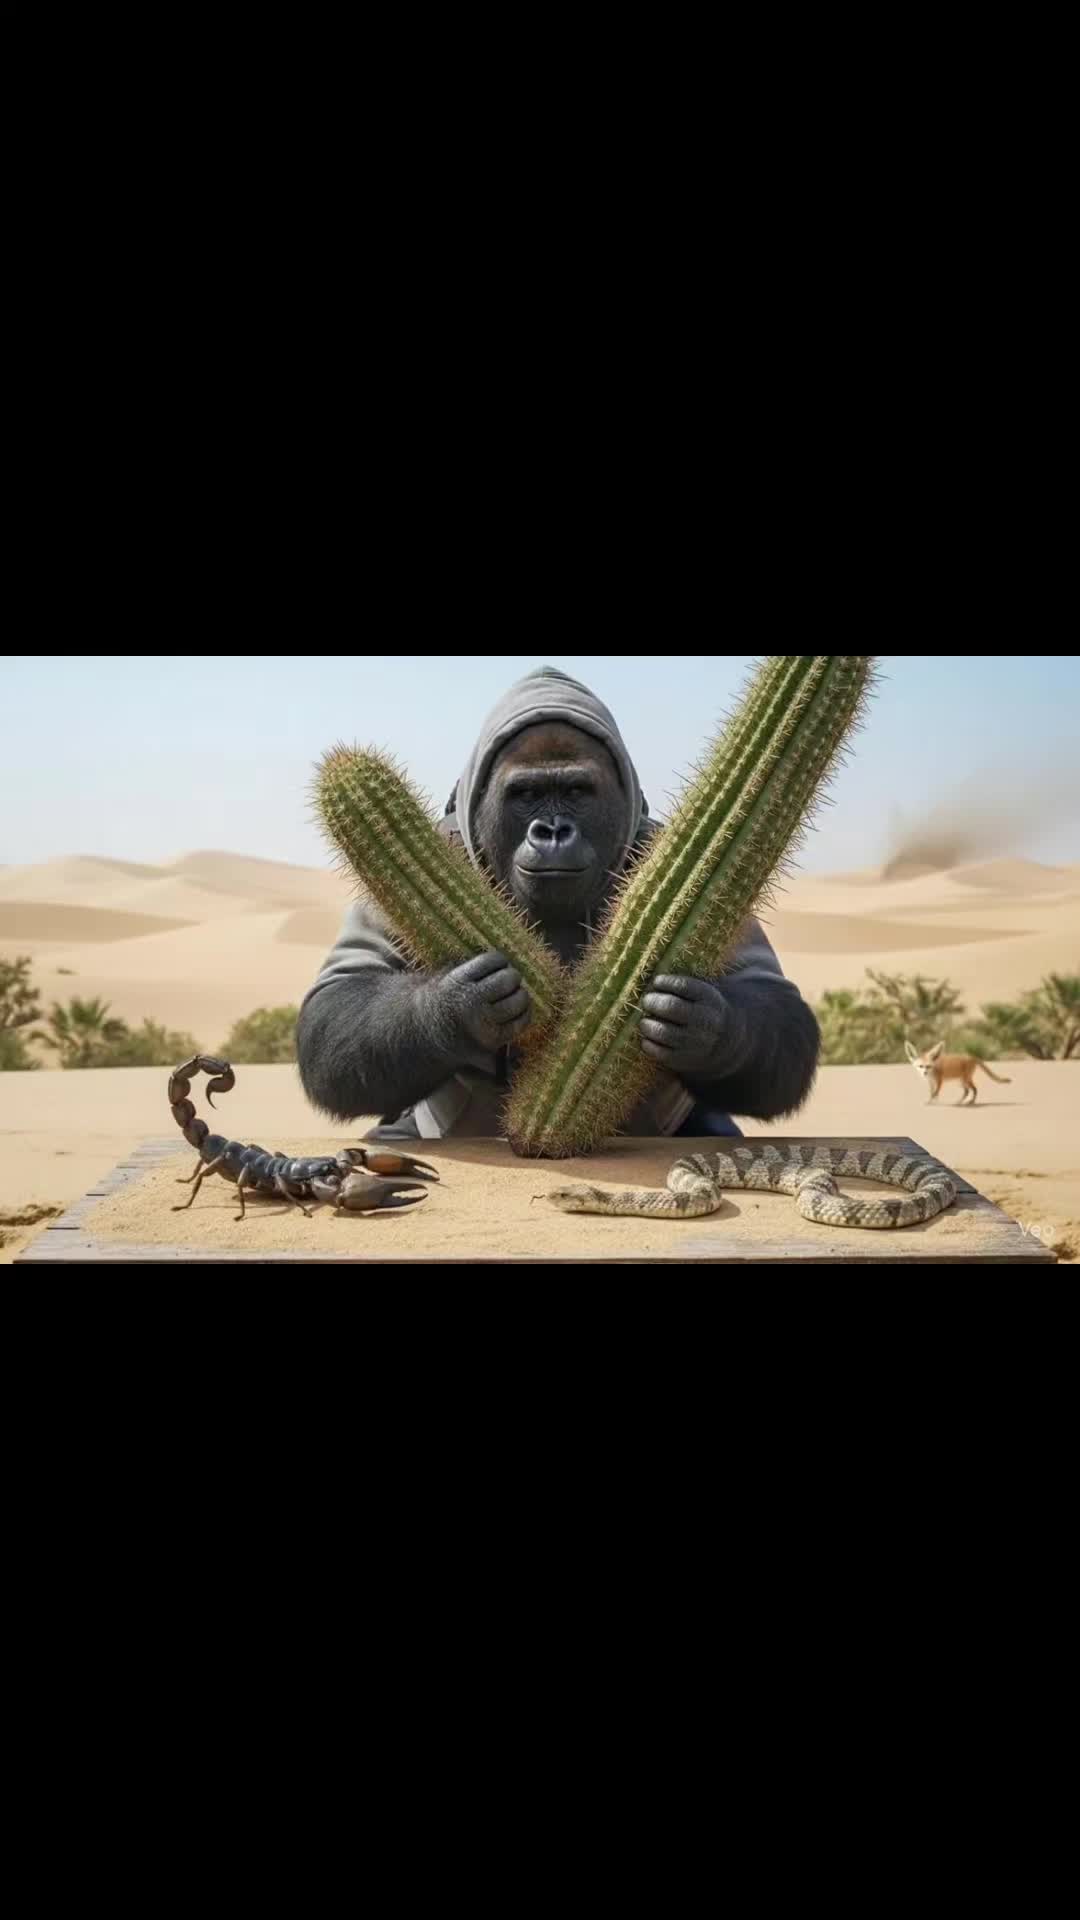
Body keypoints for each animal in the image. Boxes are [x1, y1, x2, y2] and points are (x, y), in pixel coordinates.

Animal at [297, 666, 820, 1143]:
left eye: (574, 791)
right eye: (527, 793)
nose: (552, 831)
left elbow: (771, 996)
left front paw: (701, 1026)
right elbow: (338, 996)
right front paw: (461, 1004)